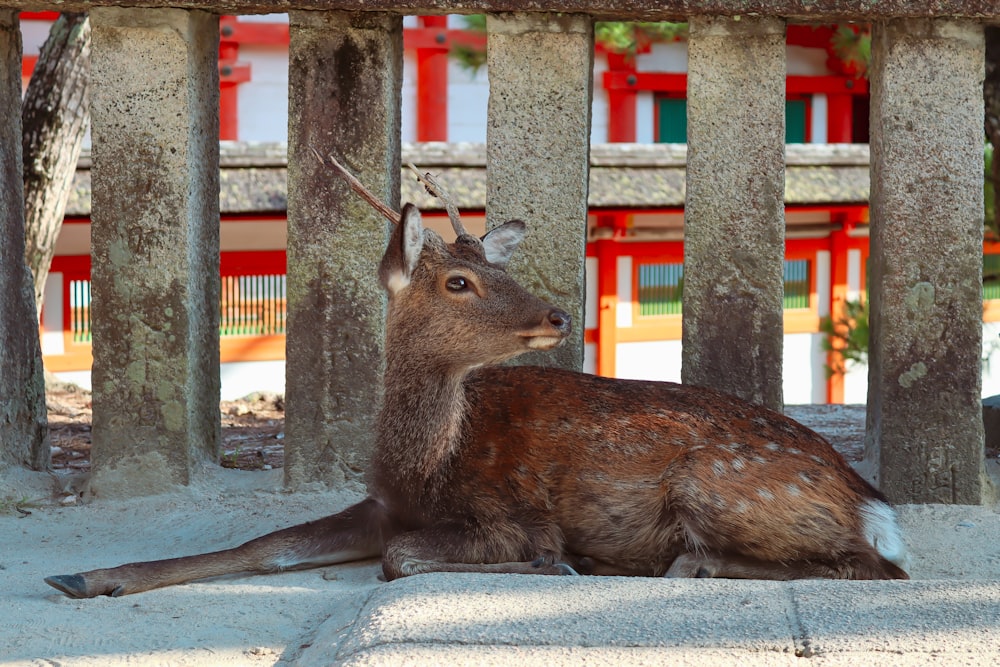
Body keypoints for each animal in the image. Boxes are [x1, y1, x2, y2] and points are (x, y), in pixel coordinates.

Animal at [43, 160, 912, 600]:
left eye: (499, 267)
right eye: (459, 280)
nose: (558, 312)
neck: (426, 466)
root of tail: (873, 502)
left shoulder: (512, 512)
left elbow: (403, 559)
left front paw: (558, 563)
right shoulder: (380, 503)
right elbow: (265, 546)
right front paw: (83, 575)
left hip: (720, 482)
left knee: (877, 567)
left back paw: (693, 564)